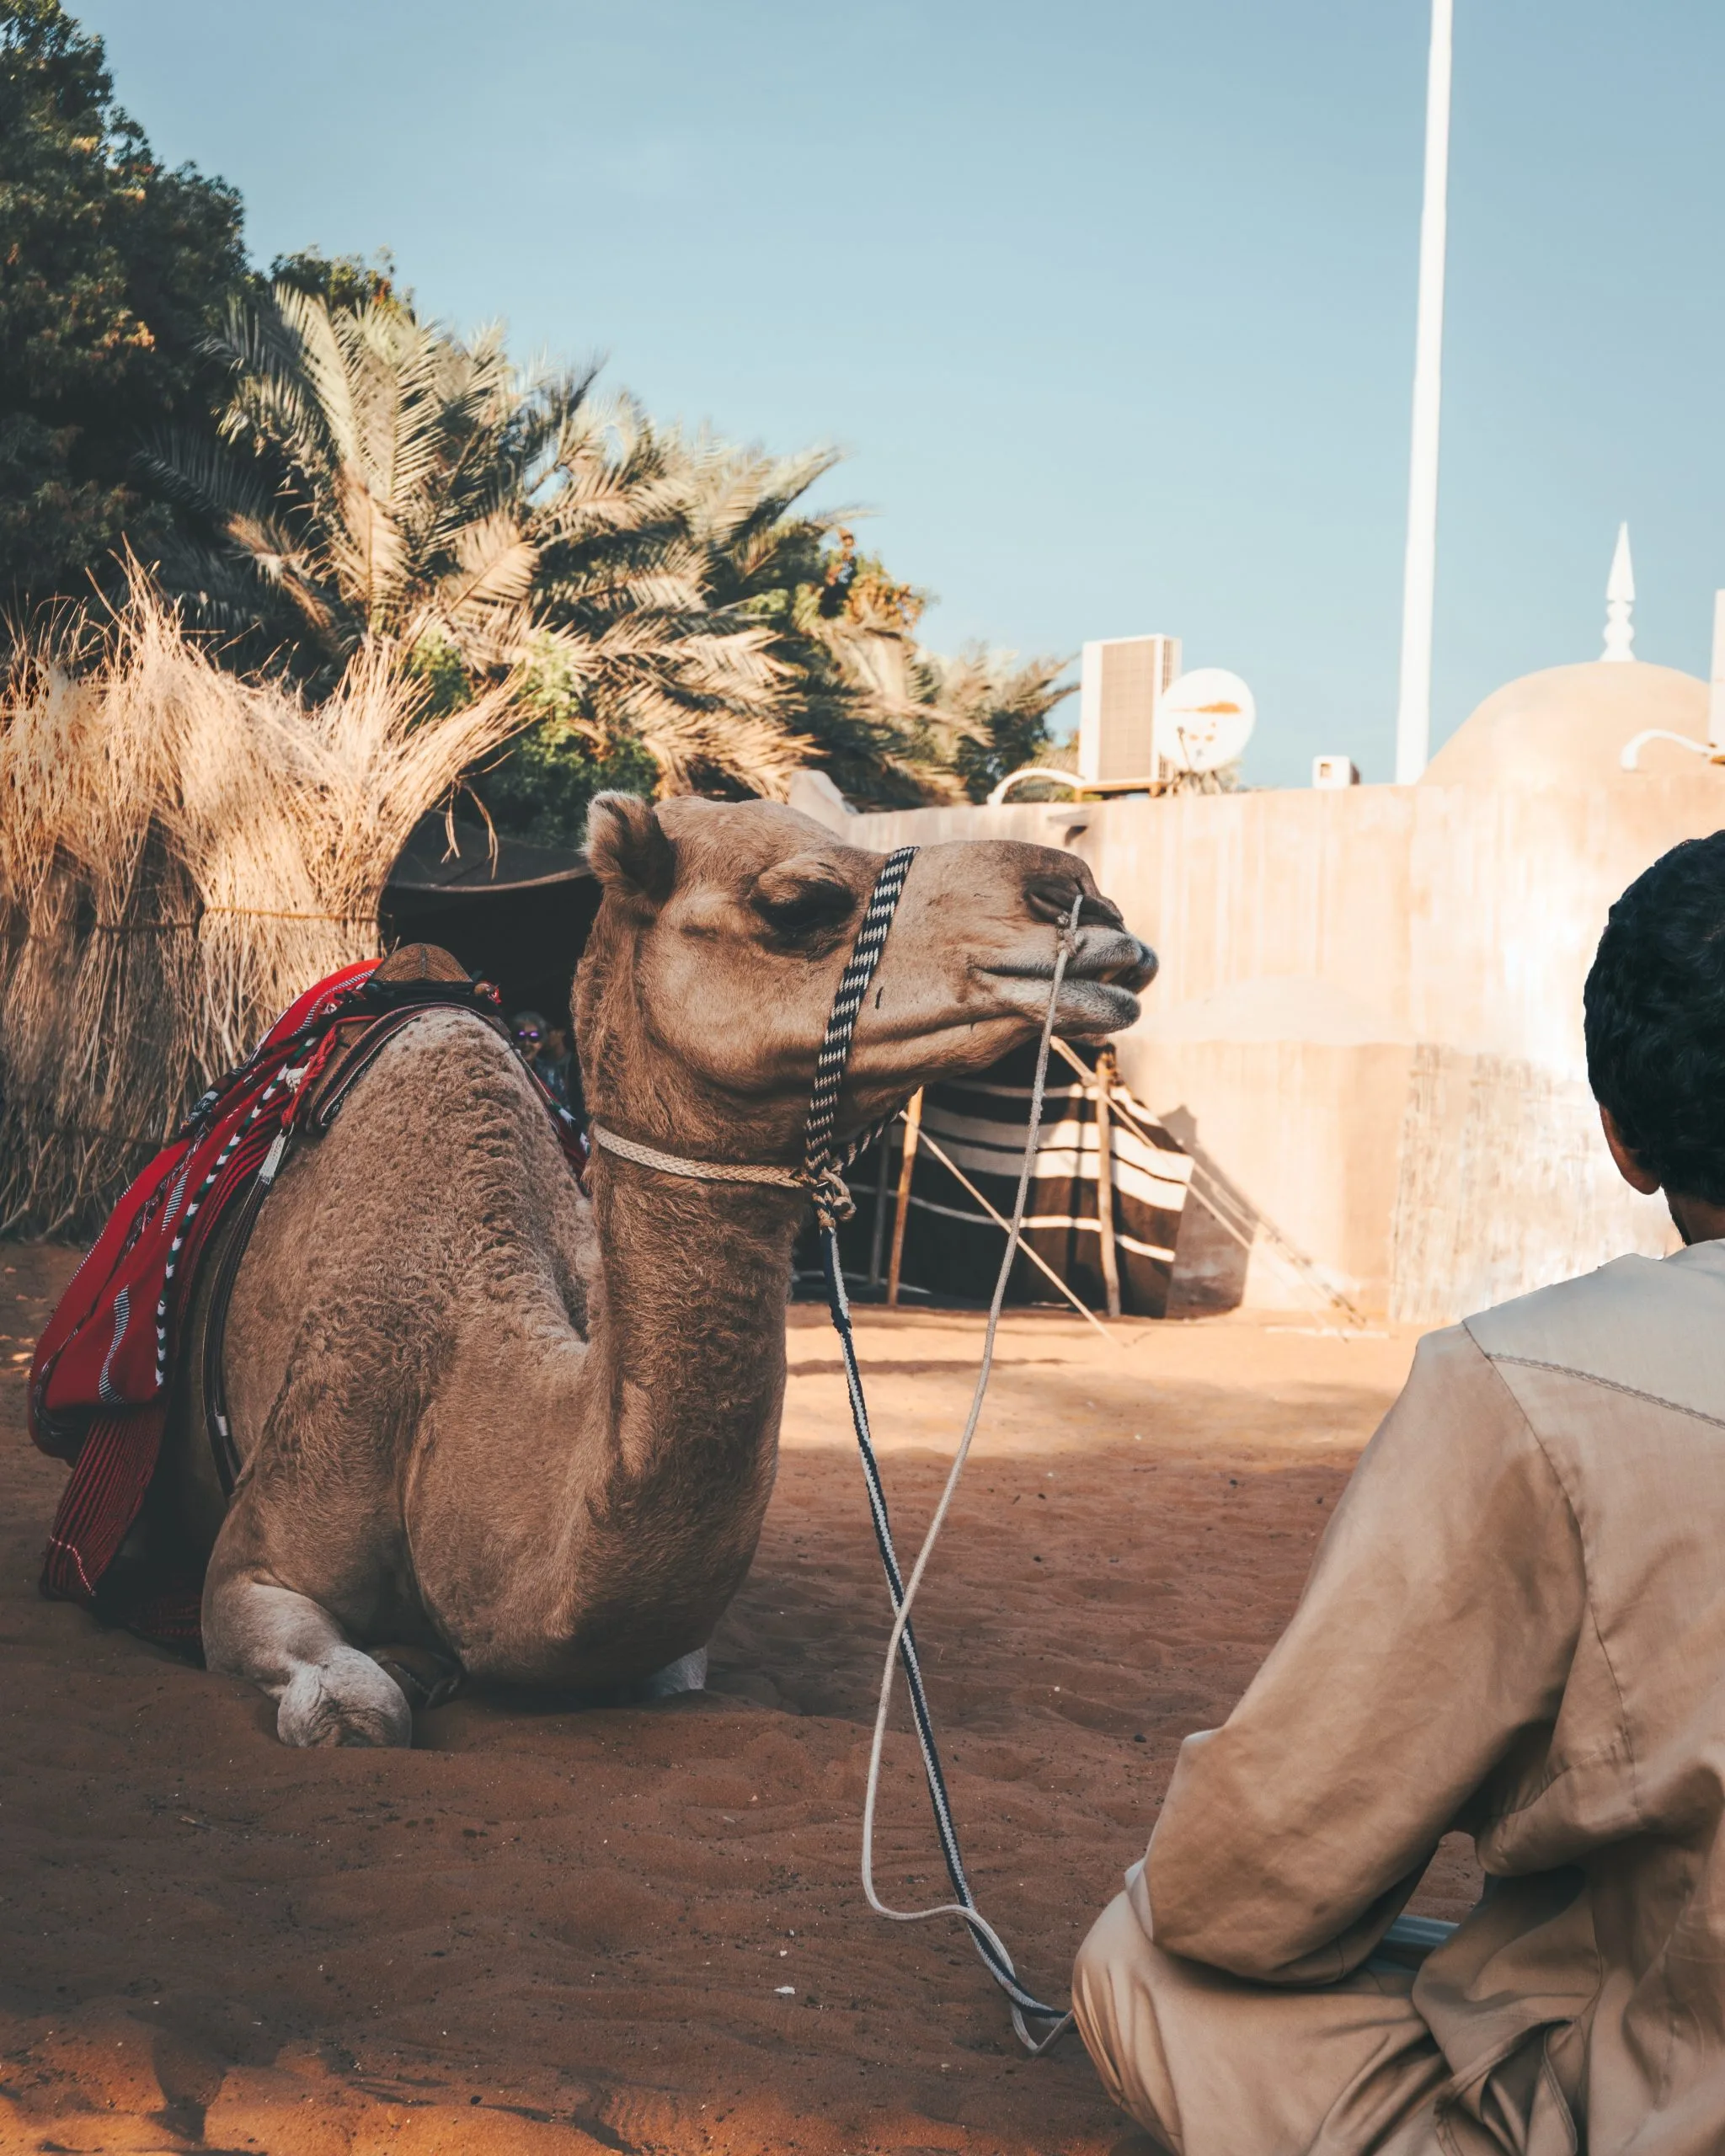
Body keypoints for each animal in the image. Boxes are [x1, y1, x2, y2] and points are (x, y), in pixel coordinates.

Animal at [153, 793, 1156, 1747]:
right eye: (800, 904)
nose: (1086, 900)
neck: (461, 1373)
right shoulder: (256, 1562)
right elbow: (360, 1713)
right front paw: (400, 1673)